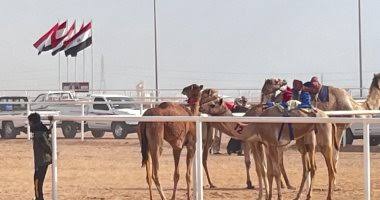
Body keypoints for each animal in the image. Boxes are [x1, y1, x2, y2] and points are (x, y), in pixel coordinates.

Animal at [199, 96, 336, 199]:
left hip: (322, 142)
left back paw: (326, 196)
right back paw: (298, 196)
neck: (254, 125)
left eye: (212, 104)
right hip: (303, 145)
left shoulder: (267, 144)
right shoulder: (265, 143)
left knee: (327, 168)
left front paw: (275, 196)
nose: (200, 107)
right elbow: (266, 171)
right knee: (308, 168)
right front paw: (266, 196)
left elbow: (272, 171)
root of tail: (328, 117)